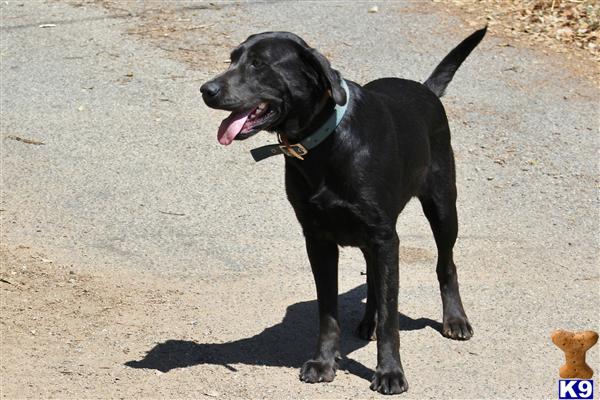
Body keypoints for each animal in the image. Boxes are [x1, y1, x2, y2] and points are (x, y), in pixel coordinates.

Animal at [202, 27, 488, 394]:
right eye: (232, 59)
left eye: (259, 64)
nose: (206, 90)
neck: (323, 144)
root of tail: (426, 89)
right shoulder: (318, 239)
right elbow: (328, 312)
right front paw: (324, 363)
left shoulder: (384, 237)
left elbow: (391, 317)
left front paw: (390, 372)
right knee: (375, 281)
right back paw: (368, 322)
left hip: (442, 206)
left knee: (446, 264)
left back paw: (455, 319)